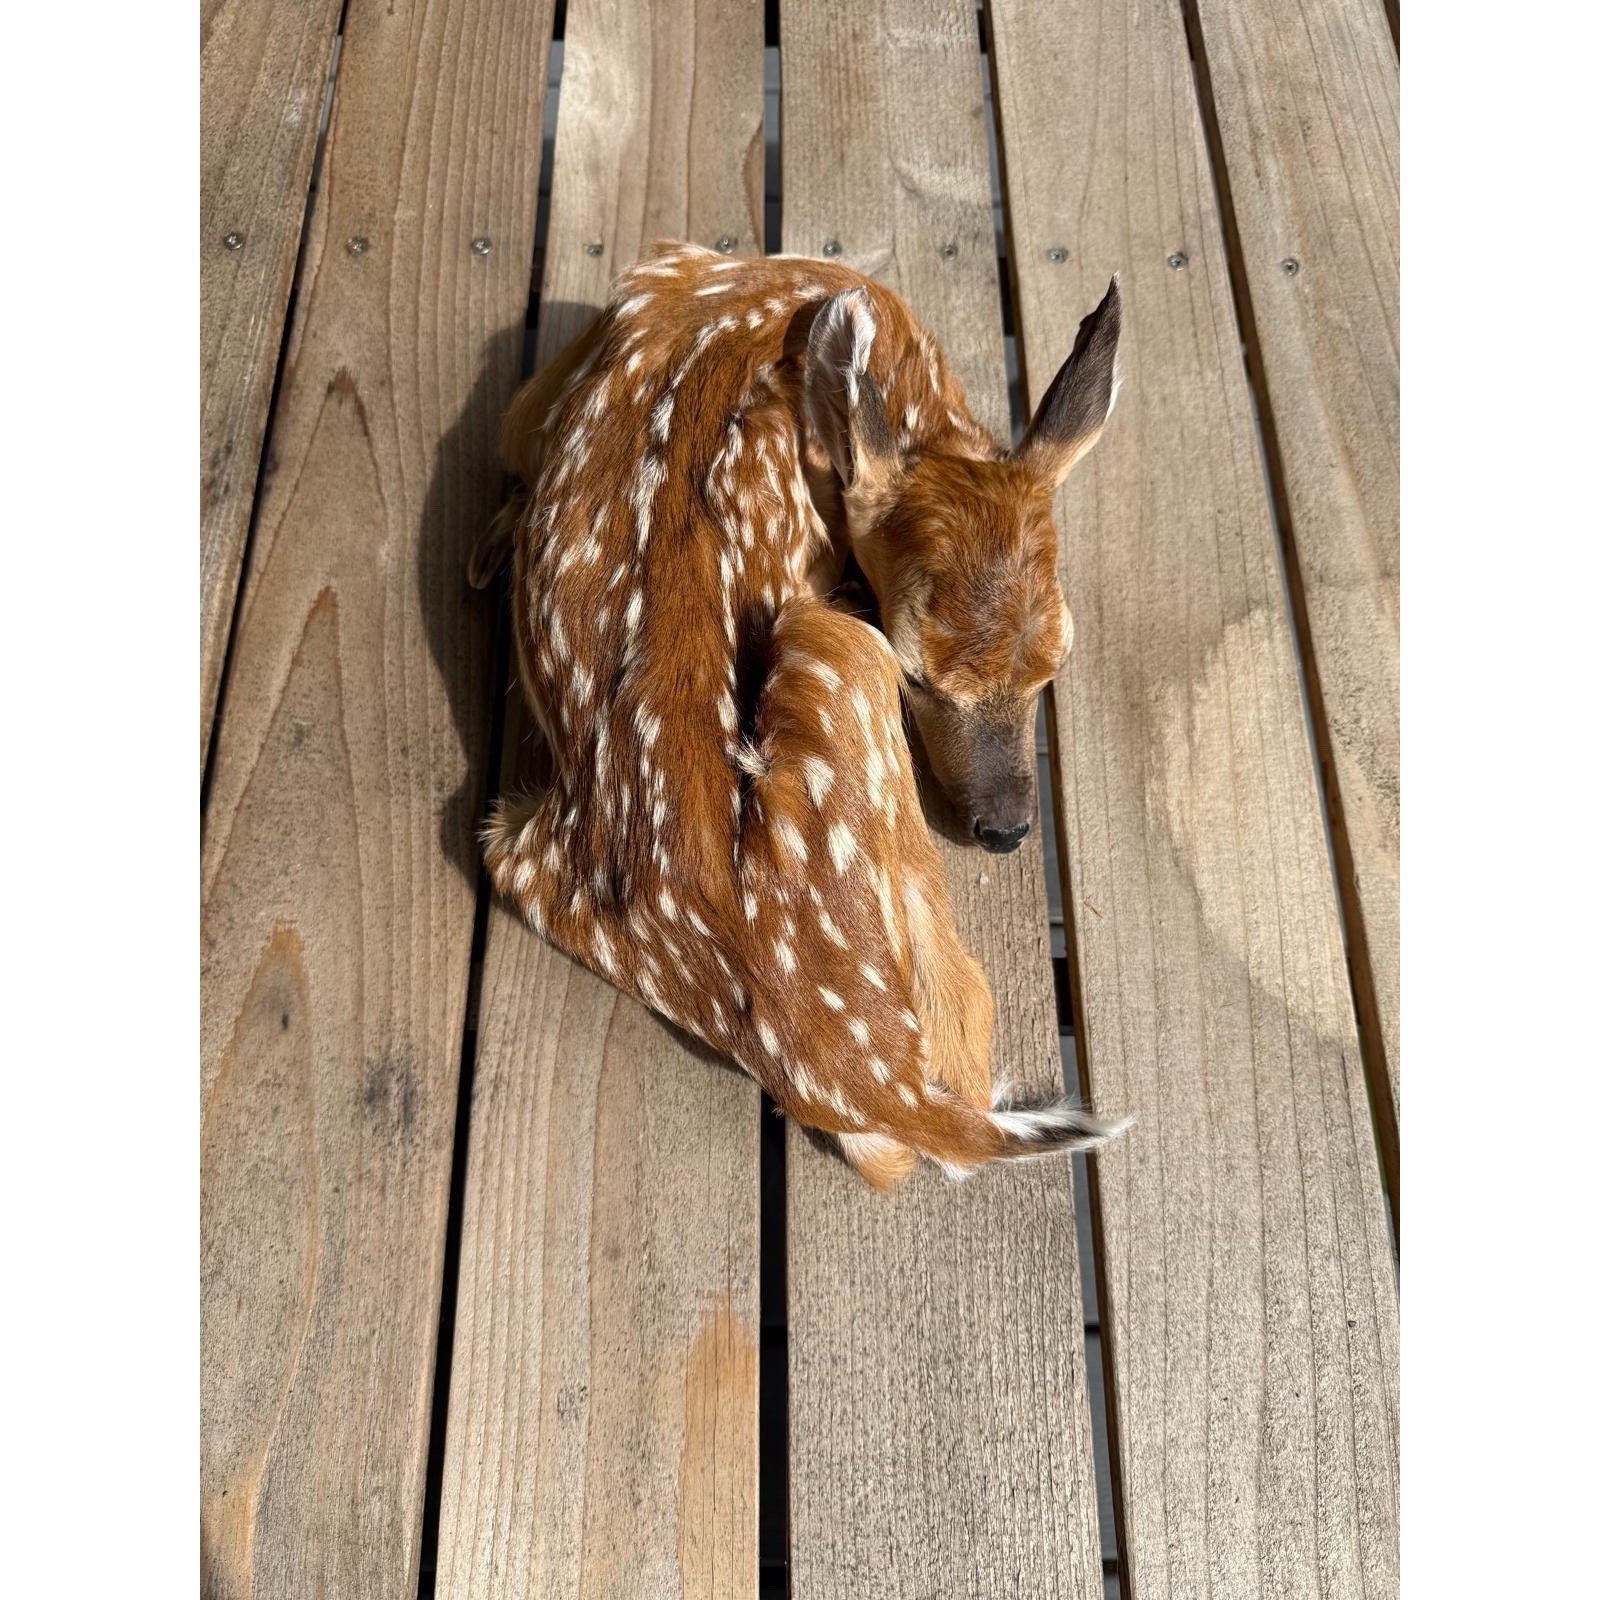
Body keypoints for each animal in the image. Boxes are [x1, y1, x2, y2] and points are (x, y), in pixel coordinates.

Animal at [471, 241, 1128, 1189]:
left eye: (1056, 663)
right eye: (919, 675)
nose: (1005, 830)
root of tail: (871, 1075)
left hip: (514, 848)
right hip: (837, 649)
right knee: (953, 1064)